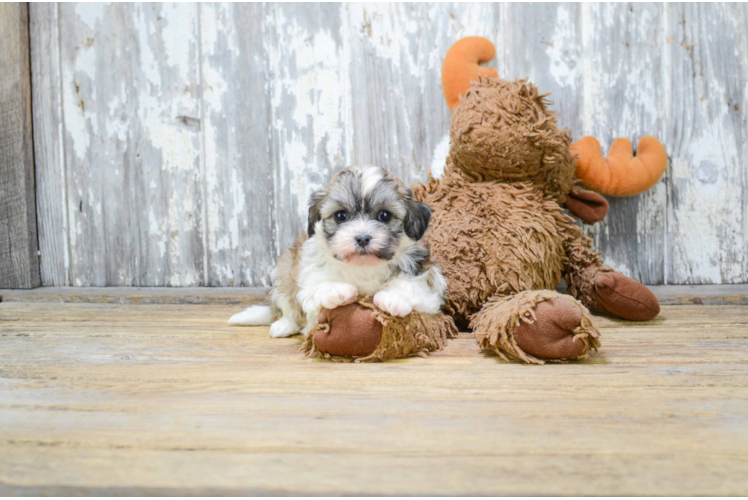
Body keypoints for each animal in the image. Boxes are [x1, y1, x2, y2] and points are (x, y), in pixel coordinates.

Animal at [228, 166, 448, 338]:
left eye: (384, 215)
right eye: (341, 216)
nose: (362, 238)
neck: (364, 267)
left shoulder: (428, 285)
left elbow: (413, 286)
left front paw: (393, 297)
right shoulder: (307, 276)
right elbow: (315, 289)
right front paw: (337, 289)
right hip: (283, 271)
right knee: (288, 306)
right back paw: (283, 325)